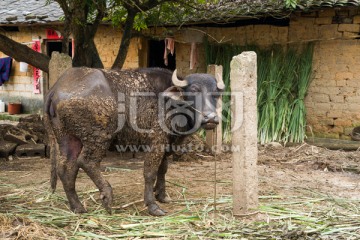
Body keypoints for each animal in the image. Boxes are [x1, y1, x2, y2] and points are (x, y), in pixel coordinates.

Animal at [43, 67, 224, 216]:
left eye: (216, 93)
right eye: (193, 91)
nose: (210, 118)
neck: (170, 103)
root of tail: (55, 89)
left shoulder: (166, 144)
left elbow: (163, 169)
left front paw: (162, 195)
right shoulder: (156, 142)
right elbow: (150, 172)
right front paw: (153, 205)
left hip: (67, 138)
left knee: (66, 168)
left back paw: (77, 207)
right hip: (99, 136)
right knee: (86, 162)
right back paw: (107, 195)